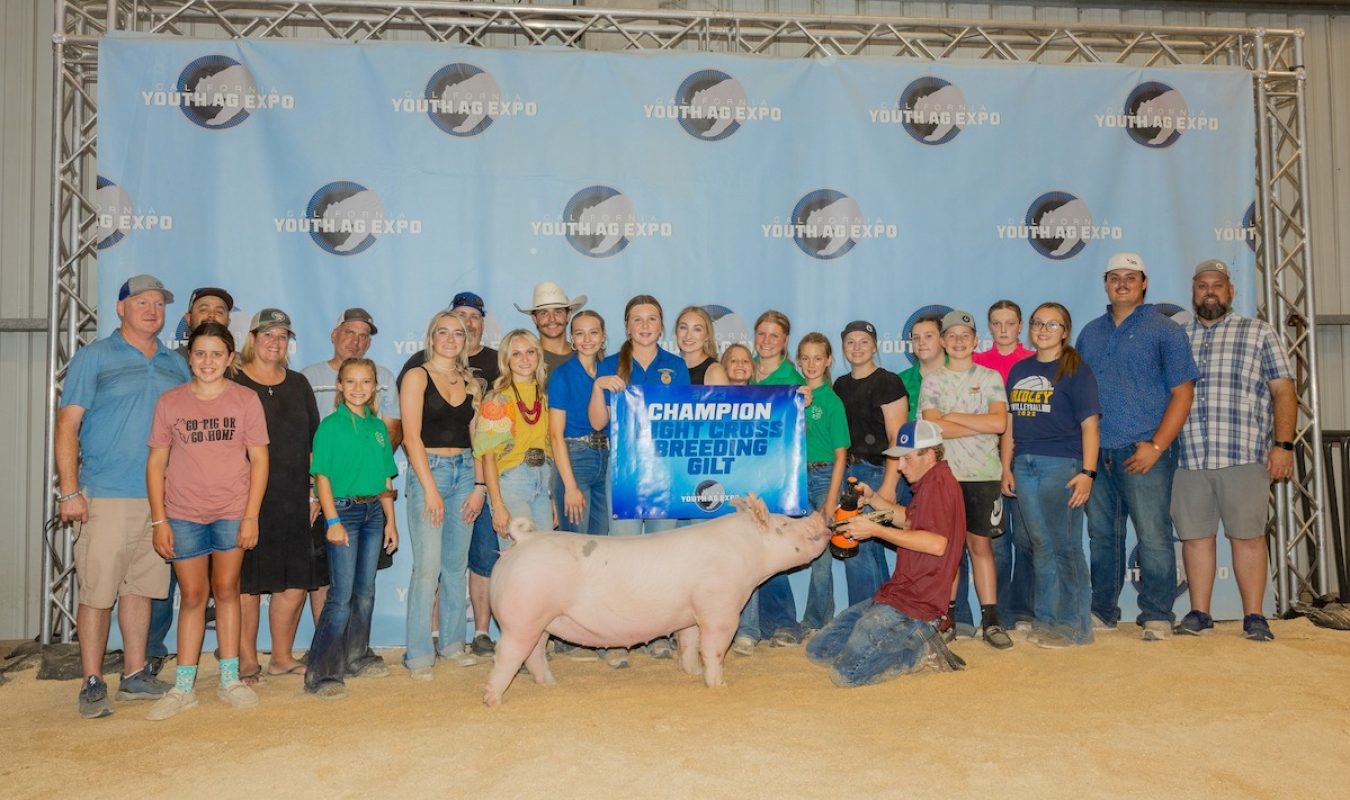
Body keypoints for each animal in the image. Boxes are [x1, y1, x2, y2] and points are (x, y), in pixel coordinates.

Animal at [480, 496, 826, 706]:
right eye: (783, 524)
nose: (820, 518)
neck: (748, 553)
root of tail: (524, 541)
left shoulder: (691, 612)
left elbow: (689, 643)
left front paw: (692, 673)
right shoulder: (720, 607)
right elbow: (713, 648)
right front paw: (718, 685)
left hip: (541, 621)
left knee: (534, 654)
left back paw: (550, 685)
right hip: (521, 617)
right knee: (508, 655)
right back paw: (492, 700)